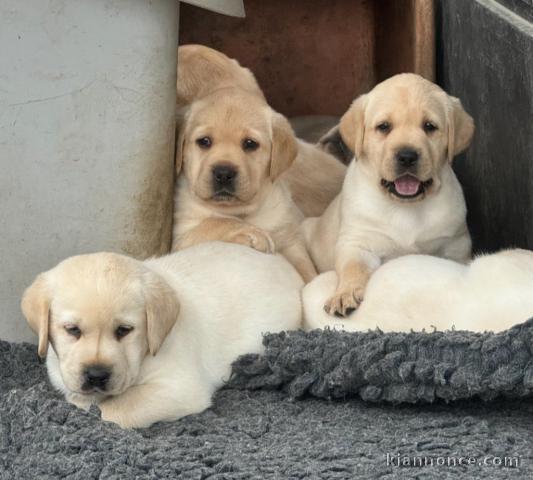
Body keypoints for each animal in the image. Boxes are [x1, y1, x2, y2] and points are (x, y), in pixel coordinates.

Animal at [21, 244, 304, 428]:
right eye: (72, 330)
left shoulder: (179, 387)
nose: (97, 375)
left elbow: (112, 409)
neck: (144, 354)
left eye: (124, 330)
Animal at [172, 87, 318, 282]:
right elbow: (215, 221)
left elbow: (305, 267)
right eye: (204, 141)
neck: (241, 212)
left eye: (250, 144)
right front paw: (250, 232)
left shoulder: (290, 239)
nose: (223, 173)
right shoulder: (178, 239)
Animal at [304, 73, 474, 316]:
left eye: (429, 126)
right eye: (383, 127)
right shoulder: (357, 243)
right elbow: (353, 269)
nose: (407, 156)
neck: (405, 207)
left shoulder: (456, 244)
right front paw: (344, 294)